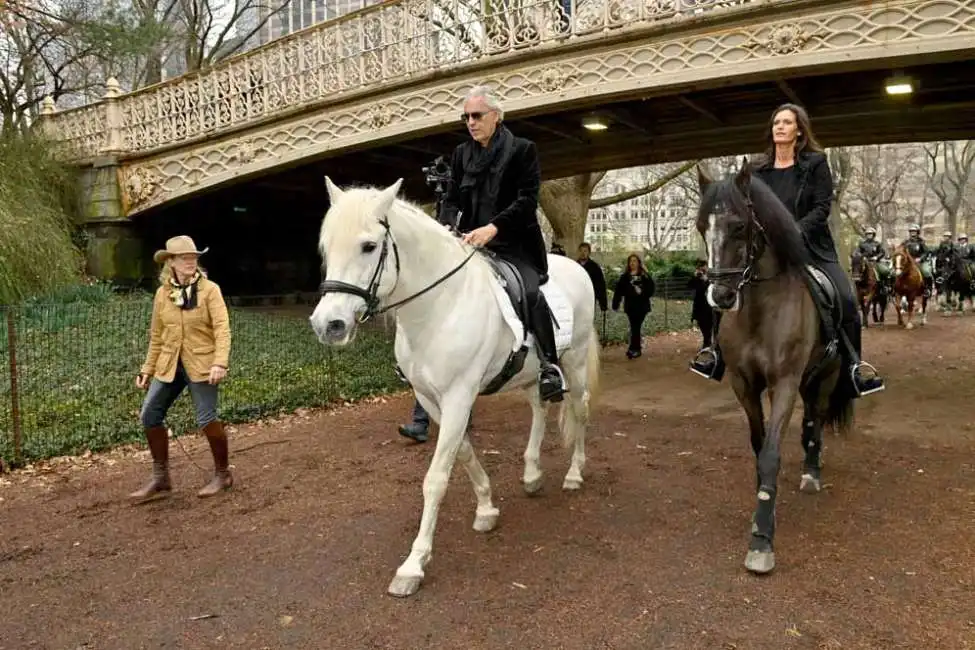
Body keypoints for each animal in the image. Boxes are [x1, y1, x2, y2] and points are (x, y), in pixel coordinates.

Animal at [312, 177, 604, 596]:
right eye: (326, 247)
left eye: (368, 246)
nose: (328, 325)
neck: (438, 307)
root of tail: (576, 267)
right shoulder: (431, 399)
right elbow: (463, 453)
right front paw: (486, 507)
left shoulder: (458, 397)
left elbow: (436, 478)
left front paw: (414, 564)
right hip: (532, 372)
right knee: (540, 407)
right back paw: (532, 474)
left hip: (575, 360)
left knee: (580, 410)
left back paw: (575, 474)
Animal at [692, 159, 856, 576]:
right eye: (701, 227)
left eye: (739, 226)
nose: (721, 296)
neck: (760, 308)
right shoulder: (744, 383)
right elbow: (758, 441)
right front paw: (760, 499)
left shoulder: (784, 382)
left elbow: (770, 452)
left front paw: (762, 539)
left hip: (826, 376)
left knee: (816, 417)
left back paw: (812, 472)